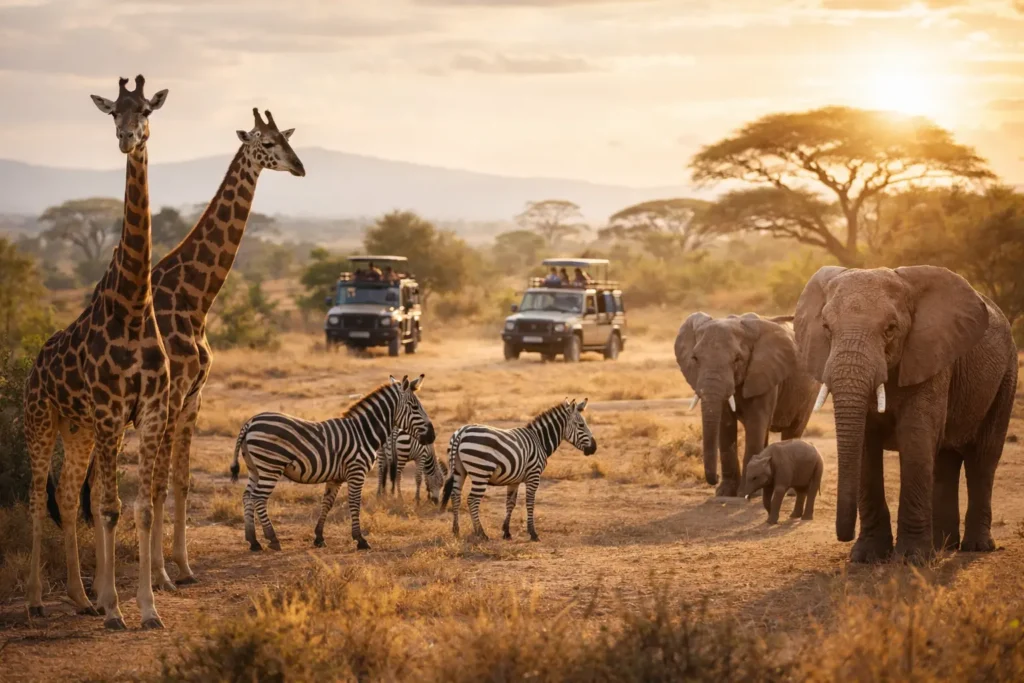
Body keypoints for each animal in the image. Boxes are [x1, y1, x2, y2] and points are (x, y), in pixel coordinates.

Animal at [24, 75, 171, 630]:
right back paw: (38, 602)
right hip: (42, 421)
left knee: (66, 497)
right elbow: (109, 508)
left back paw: (81, 598)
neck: (133, 306)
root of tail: (32, 367)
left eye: (146, 109)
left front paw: (145, 609)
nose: (128, 138)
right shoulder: (111, 410)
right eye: (113, 112)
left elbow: (141, 507)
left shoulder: (148, 410)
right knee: (34, 498)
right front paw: (116, 611)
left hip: (79, 427)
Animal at [230, 374, 435, 551]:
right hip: (270, 467)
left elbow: (327, 503)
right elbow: (354, 503)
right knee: (258, 498)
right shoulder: (356, 471)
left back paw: (253, 541)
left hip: (255, 468)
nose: (432, 436)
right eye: (415, 407)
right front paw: (360, 539)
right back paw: (272, 539)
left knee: (247, 496)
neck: (363, 432)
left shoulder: (335, 477)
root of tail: (250, 422)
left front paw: (319, 537)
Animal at [440, 398, 596, 541]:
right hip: (481, 472)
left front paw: (506, 532)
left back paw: (456, 531)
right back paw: (481, 533)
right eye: (581, 425)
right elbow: (530, 502)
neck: (540, 441)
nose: (594, 448)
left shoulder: (513, 480)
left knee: (455, 496)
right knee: (472, 500)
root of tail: (461, 432)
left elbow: (510, 503)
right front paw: (533, 533)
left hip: (459, 470)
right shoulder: (534, 475)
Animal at [674, 312, 822, 497]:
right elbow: (725, 426)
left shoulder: (763, 373)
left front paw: (745, 492)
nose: (714, 477)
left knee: (793, 430)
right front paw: (724, 493)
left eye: (737, 359)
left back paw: (790, 491)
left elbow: (755, 425)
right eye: (695, 359)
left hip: (809, 391)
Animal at [794, 265, 1018, 563]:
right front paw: (866, 557)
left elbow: (915, 438)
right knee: (944, 460)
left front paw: (912, 559)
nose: (844, 535)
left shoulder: (930, 357)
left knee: (982, 458)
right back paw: (944, 545)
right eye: (826, 328)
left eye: (890, 329)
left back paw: (975, 547)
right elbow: (865, 445)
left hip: (1007, 375)